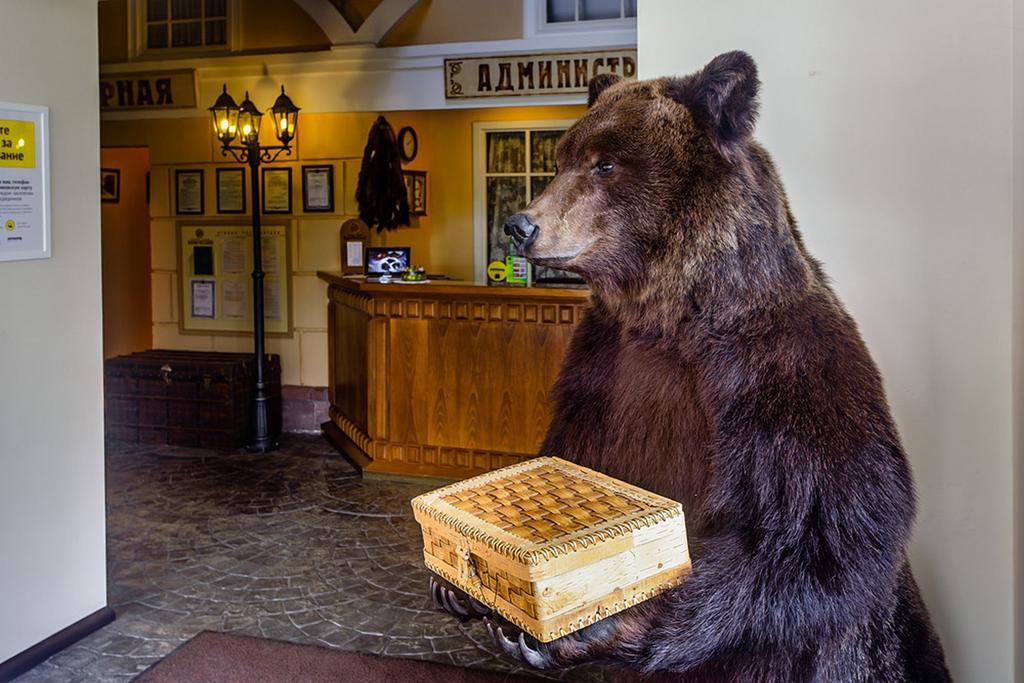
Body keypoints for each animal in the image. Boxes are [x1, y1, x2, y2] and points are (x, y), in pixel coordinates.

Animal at [432, 50, 950, 679]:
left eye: (606, 163)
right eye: (561, 161)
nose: (520, 224)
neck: (670, 316)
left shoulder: (778, 372)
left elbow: (826, 528)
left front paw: (600, 623)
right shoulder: (600, 366)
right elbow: (573, 451)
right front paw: (455, 585)